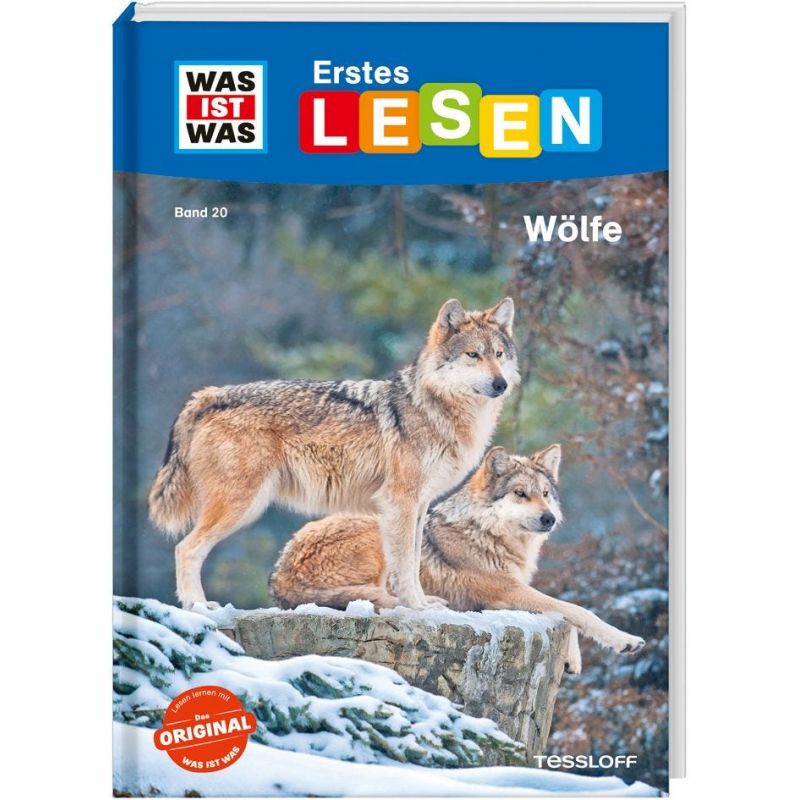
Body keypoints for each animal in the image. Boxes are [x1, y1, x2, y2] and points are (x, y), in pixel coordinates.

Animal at [149, 297, 519, 610]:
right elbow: (404, 566)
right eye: (473, 355)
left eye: (499, 354)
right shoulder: (400, 501)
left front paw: (423, 603)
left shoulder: (419, 505)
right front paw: (416, 607)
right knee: (185, 548)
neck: (437, 409)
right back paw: (198, 606)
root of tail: (211, 394)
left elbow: (414, 562)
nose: (500, 384)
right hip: (242, 505)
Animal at [271, 444, 646, 671]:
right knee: (385, 599)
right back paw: (431, 604)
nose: (549, 518)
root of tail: (279, 577)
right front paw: (625, 640)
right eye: (520, 494)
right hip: (382, 531)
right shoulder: (506, 592)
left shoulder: (513, 592)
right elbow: (575, 610)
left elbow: (565, 612)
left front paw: (573, 659)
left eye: (545, 494)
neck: (487, 534)